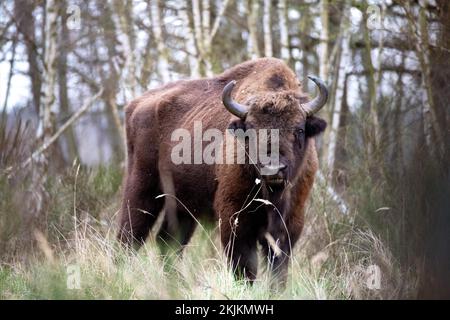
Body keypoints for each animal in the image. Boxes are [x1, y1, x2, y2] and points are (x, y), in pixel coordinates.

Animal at [117, 57, 326, 284]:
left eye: (299, 129)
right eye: (251, 129)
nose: (273, 168)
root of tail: (135, 105)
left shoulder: (291, 222)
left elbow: (278, 269)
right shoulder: (234, 218)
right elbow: (244, 266)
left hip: (184, 206)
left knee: (168, 241)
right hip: (142, 188)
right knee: (130, 235)